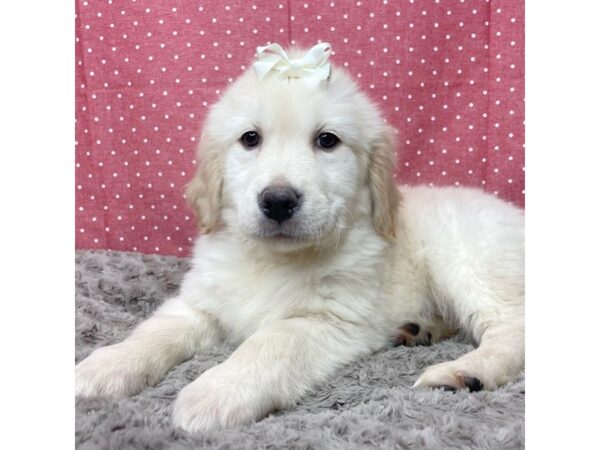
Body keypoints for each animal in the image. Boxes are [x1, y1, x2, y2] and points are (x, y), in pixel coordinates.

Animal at [76, 43, 524, 432]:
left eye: (327, 140)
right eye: (250, 138)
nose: (278, 201)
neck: (273, 258)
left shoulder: (328, 319)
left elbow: (269, 342)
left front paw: (216, 391)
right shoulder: (199, 303)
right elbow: (156, 331)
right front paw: (105, 366)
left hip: (470, 262)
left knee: (512, 328)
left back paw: (464, 372)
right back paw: (419, 329)